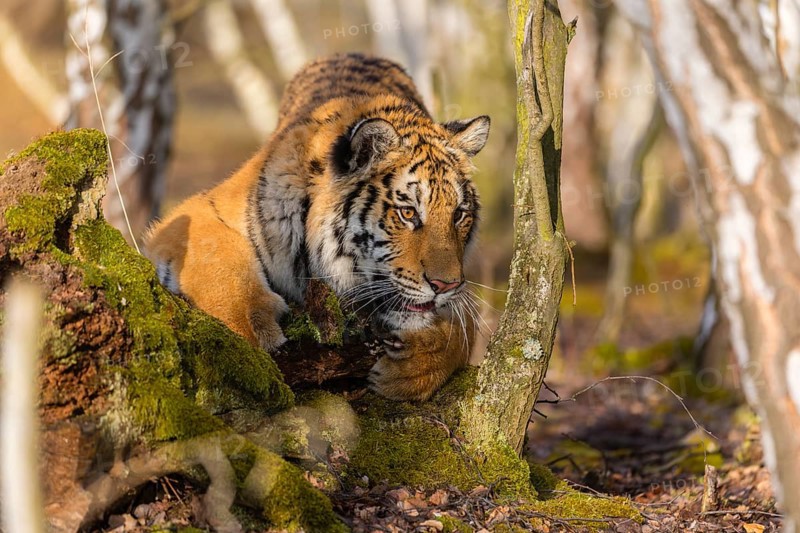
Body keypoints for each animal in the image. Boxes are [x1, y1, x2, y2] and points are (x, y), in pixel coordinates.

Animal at [145, 53, 490, 401]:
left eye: (458, 215)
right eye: (407, 213)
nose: (445, 285)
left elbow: (465, 327)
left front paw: (417, 362)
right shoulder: (196, 212)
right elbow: (220, 266)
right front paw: (250, 338)